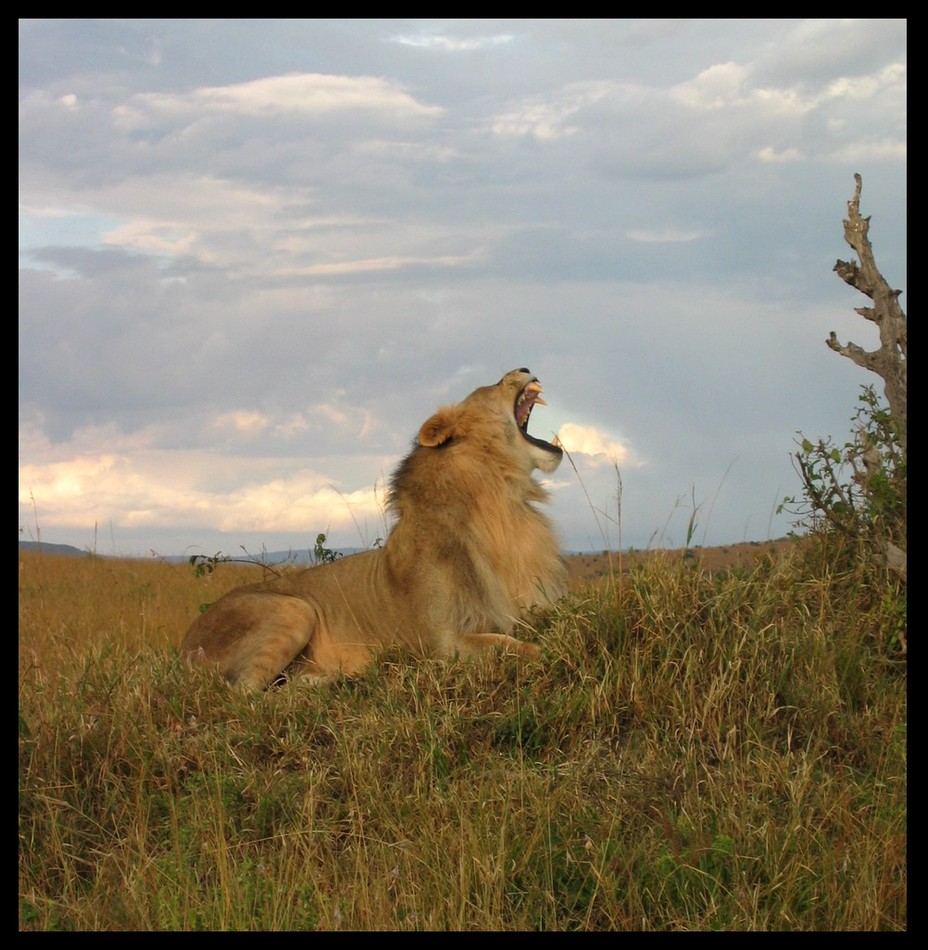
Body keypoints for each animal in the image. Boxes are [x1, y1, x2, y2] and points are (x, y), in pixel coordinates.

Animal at [175, 366, 564, 692]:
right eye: (498, 382)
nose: (525, 367)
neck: (501, 502)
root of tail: (183, 649)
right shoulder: (443, 641)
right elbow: (516, 647)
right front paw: (549, 651)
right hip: (293, 610)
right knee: (244, 694)